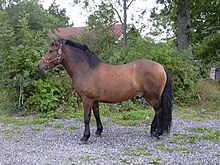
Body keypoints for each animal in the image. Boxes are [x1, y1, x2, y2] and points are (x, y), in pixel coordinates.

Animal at [37, 38, 172, 143]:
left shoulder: (86, 99)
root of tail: (161, 66)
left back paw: (157, 133)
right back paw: (153, 131)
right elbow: (96, 114)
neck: (86, 69)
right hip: (151, 97)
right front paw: (98, 131)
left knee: (159, 111)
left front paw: (85, 137)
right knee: (157, 111)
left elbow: (87, 117)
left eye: (50, 51)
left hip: (152, 97)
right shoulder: (94, 100)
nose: (39, 65)